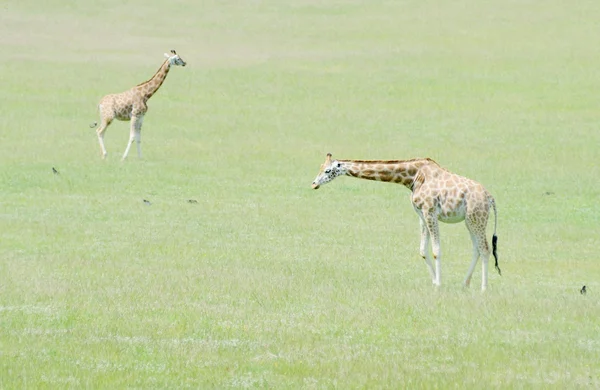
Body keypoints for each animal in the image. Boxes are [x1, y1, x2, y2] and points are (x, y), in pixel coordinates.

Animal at [310, 154, 502, 290]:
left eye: (327, 171)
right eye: (320, 167)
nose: (313, 184)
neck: (412, 177)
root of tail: (490, 197)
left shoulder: (430, 212)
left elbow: (436, 250)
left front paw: (439, 285)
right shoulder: (421, 215)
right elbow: (422, 250)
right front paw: (434, 281)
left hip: (477, 218)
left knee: (485, 249)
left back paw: (483, 288)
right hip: (470, 220)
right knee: (477, 249)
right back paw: (465, 283)